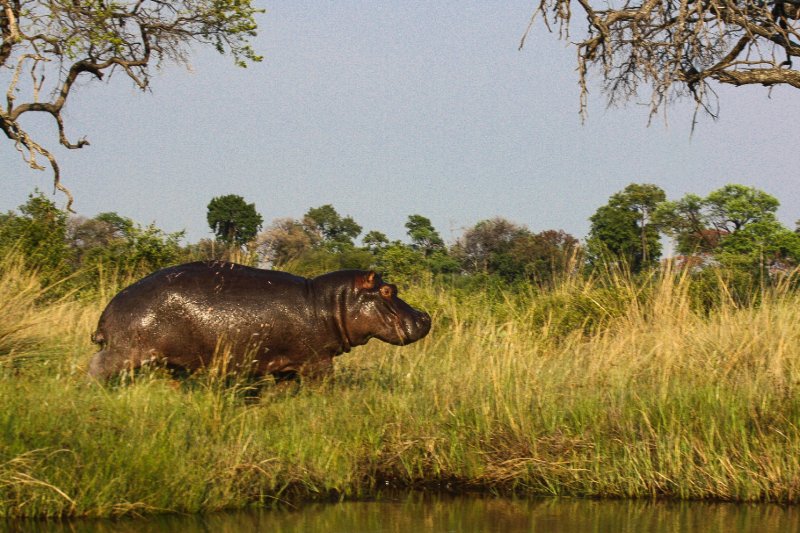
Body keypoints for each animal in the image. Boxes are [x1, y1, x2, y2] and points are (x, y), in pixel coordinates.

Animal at [87, 260, 432, 378]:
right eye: (387, 290)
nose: (425, 316)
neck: (327, 304)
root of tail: (107, 312)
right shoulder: (317, 361)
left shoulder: (285, 366)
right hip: (125, 351)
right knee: (96, 367)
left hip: (164, 360)